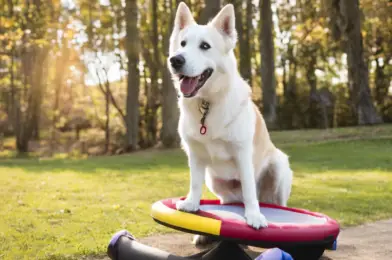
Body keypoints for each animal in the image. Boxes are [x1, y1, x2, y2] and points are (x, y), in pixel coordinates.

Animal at [167, 2, 292, 245]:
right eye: (182, 44)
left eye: (205, 46)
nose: (176, 60)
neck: (207, 104)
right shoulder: (195, 155)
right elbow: (194, 184)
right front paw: (191, 204)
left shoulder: (242, 154)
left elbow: (250, 192)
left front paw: (254, 217)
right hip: (215, 181)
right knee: (229, 201)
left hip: (279, 168)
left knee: (273, 202)